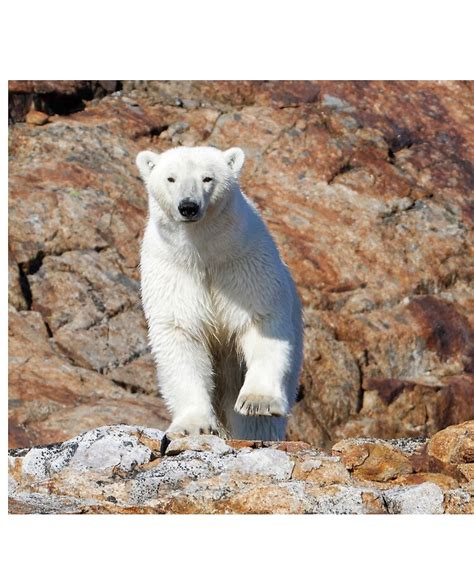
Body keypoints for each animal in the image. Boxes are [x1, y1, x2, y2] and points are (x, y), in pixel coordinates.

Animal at [136, 145, 304, 440]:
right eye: (171, 178)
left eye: (207, 178)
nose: (188, 206)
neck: (203, 254)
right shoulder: (174, 273)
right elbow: (181, 334)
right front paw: (194, 424)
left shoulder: (245, 264)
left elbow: (262, 323)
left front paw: (258, 401)